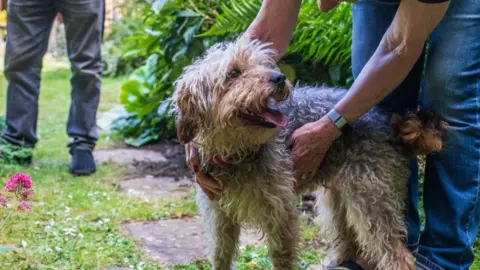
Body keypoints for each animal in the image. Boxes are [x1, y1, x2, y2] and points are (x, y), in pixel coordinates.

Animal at [171, 36, 448, 270]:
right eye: (234, 73)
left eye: (263, 64)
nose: (279, 78)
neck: (237, 153)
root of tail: (390, 122)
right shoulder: (219, 215)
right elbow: (221, 254)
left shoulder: (280, 212)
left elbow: (281, 257)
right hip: (337, 199)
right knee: (349, 242)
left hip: (371, 200)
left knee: (397, 255)